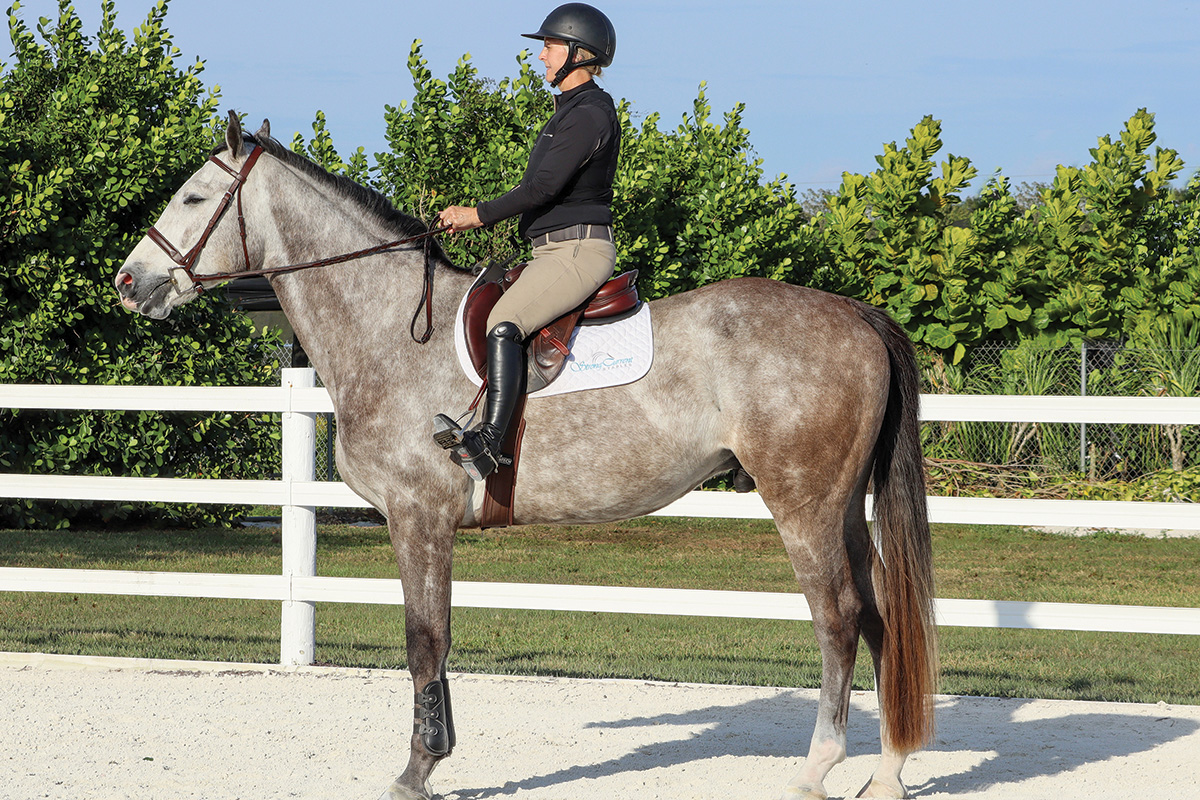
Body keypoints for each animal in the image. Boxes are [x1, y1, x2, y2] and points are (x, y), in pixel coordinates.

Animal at [114, 112, 936, 800]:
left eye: (194, 197)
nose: (129, 283)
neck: (388, 327)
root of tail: (856, 314)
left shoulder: (418, 519)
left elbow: (425, 641)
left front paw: (417, 771)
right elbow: (434, 643)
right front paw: (430, 760)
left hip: (803, 505)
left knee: (838, 619)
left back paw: (817, 769)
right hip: (844, 506)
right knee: (880, 619)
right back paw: (887, 774)